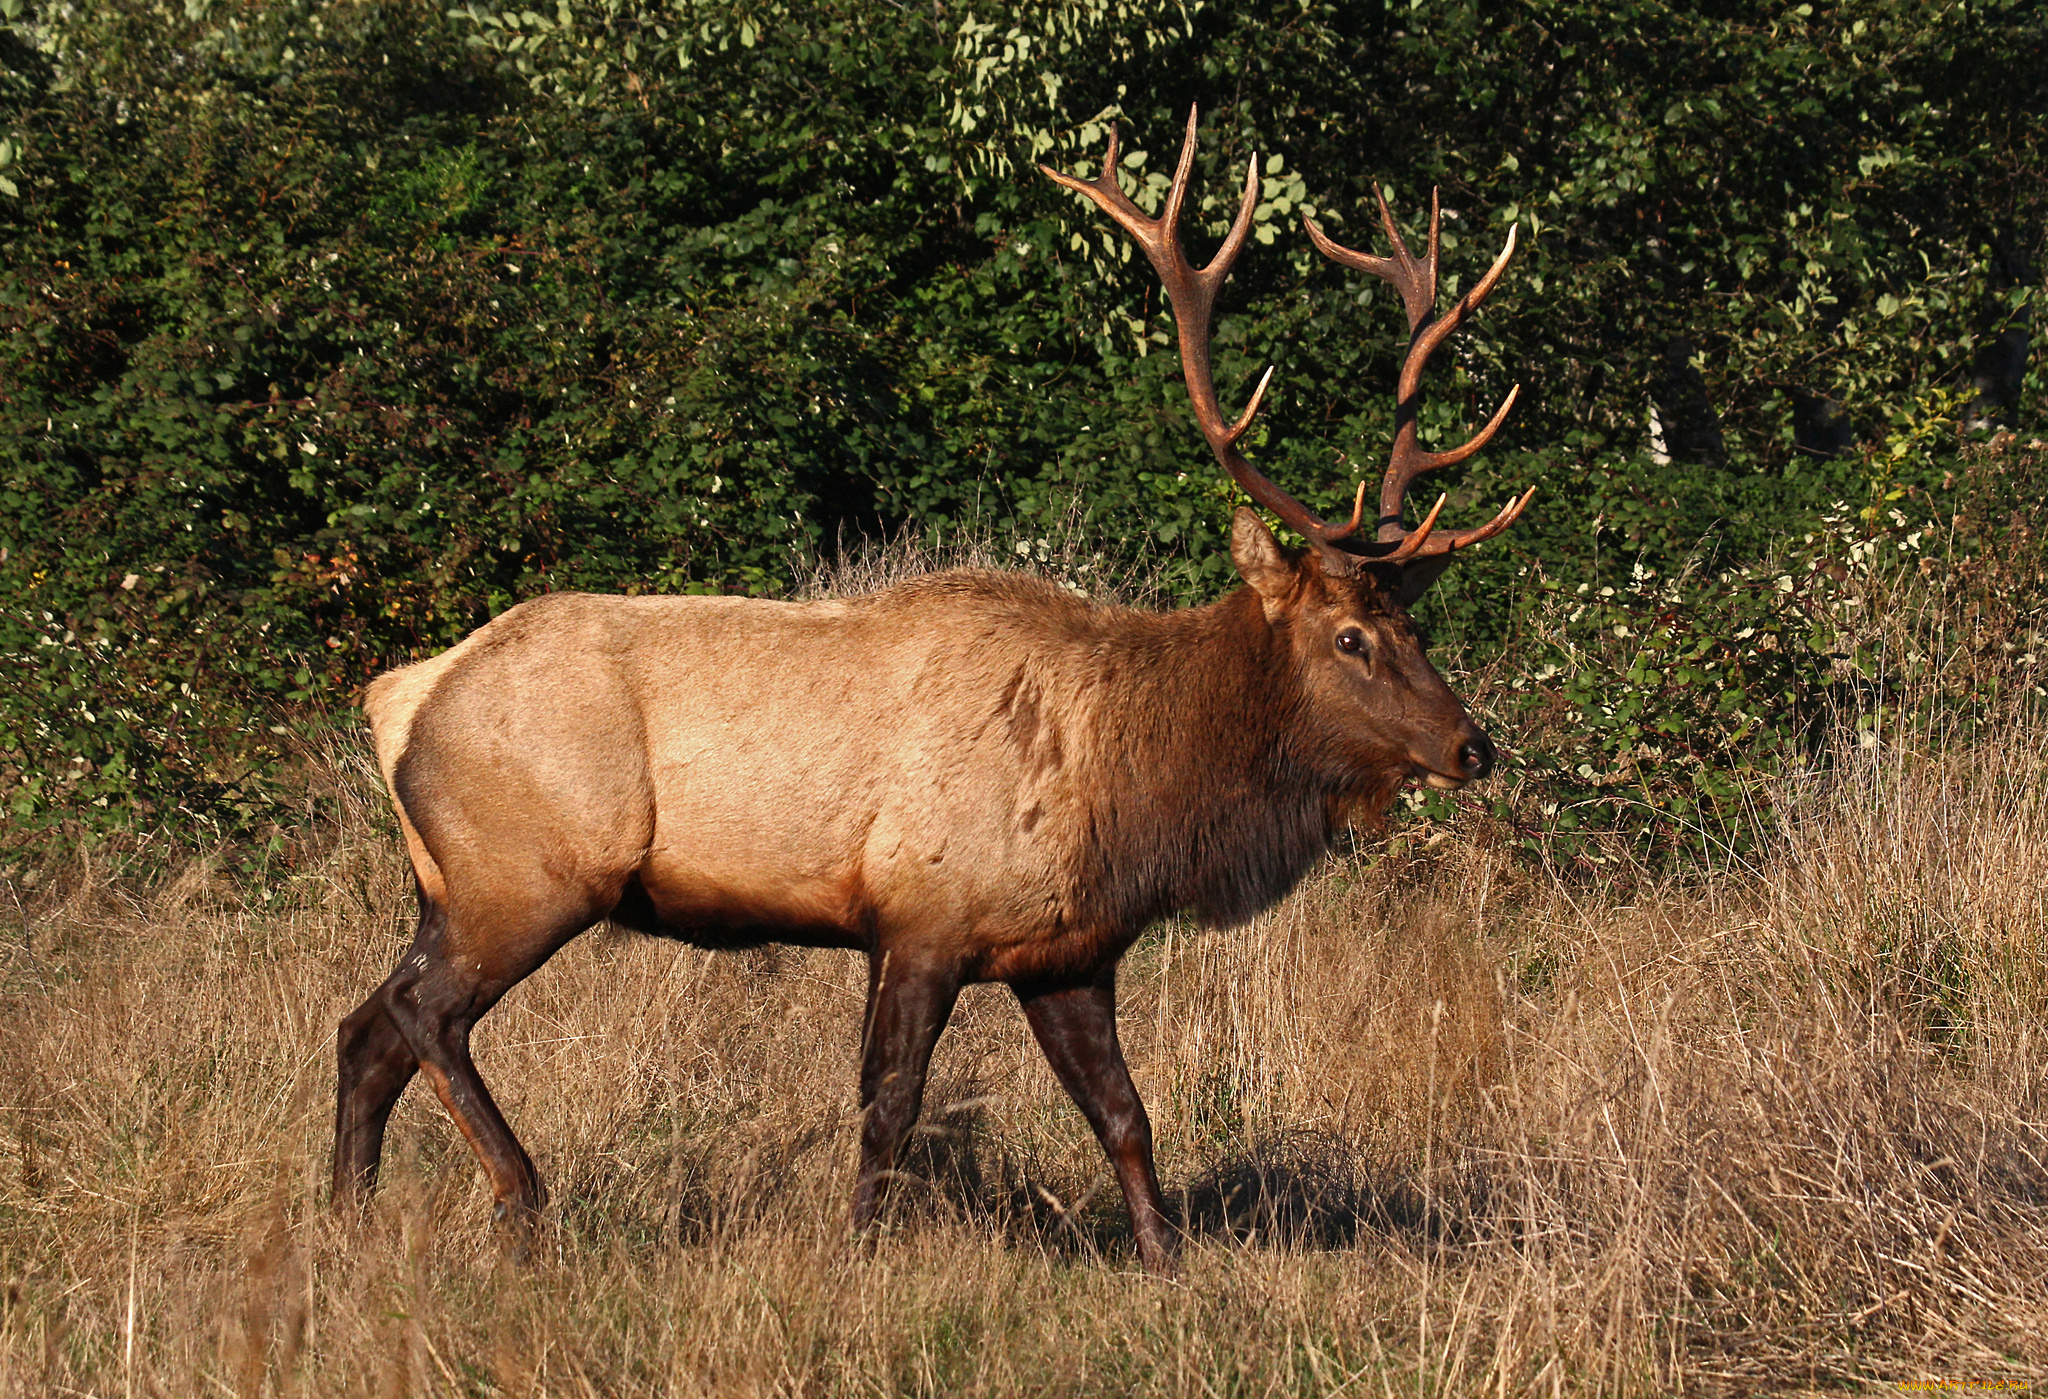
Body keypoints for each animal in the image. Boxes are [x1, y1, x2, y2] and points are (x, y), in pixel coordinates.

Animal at [335, 103, 1531, 1278]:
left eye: (1412, 625)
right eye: (1349, 636)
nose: (1472, 745)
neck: (1129, 789)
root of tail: (397, 696)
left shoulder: (1065, 952)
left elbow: (1124, 1114)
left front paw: (1166, 1265)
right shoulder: (920, 914)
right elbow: (890, 1104)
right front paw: (855, 1251)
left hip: (452, 885)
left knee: (364, 1030)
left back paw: (345, 1214)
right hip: (528, 870)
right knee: (419, 1012)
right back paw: (520, 1199)